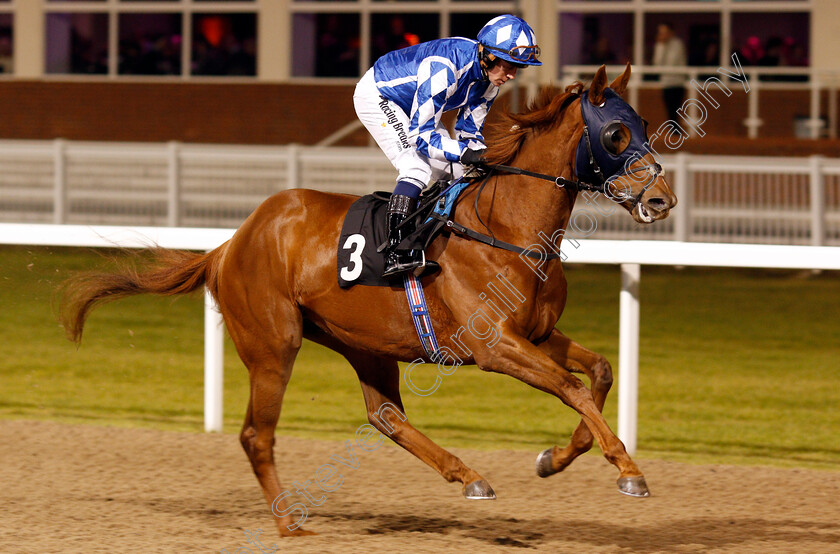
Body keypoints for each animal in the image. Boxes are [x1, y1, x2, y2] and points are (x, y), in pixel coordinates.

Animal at [59, 66, 676, 536]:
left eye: (644, 123)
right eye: (616, 134)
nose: (661, 199)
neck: (508, 227)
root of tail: (229, 244)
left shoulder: (538, 334)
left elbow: (599, 373)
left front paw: (556, 459)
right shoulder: (494, 344)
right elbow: (573, 387)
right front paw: (628, 468)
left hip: (364, 344)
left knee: (385, 416)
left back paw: (468, 475)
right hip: (274, 345)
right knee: (258, 434)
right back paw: (288, 522)